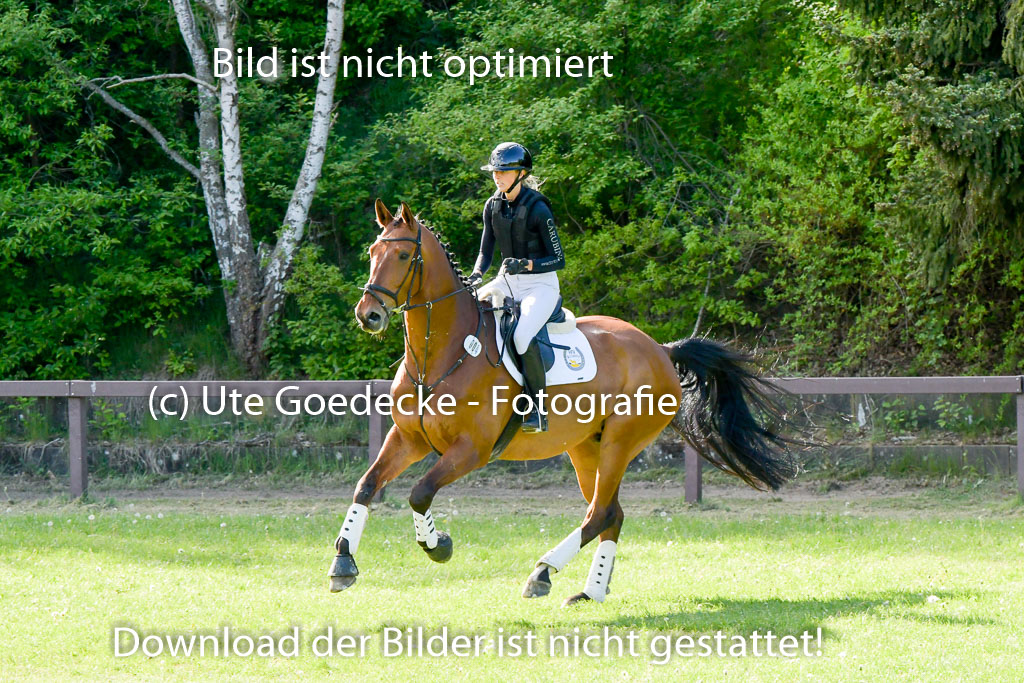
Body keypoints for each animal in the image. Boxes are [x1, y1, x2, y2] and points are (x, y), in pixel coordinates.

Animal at [328, 199, 797, 605]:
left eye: (404, 256)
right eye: (372, 252)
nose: (368, 314)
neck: (441, 355)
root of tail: (661, 350)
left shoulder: (471, 450)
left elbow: (420, 493)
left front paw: (437, 544)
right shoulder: (409, 438)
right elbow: (367, 484)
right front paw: (343, 562)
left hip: (620, 443)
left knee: (599, 513)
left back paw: (542, 573)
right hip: (586, 447)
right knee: (611, 514)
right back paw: (590, 592)